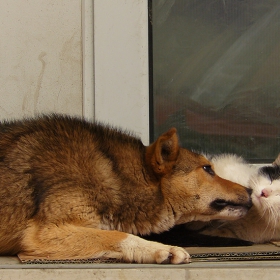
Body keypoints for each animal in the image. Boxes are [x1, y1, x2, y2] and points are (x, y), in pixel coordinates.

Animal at [0, 114, 252, 262]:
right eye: (208, 169)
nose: (251, 191)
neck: (115, 173)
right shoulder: (45, 233)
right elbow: (118, 235)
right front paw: (162, 249)